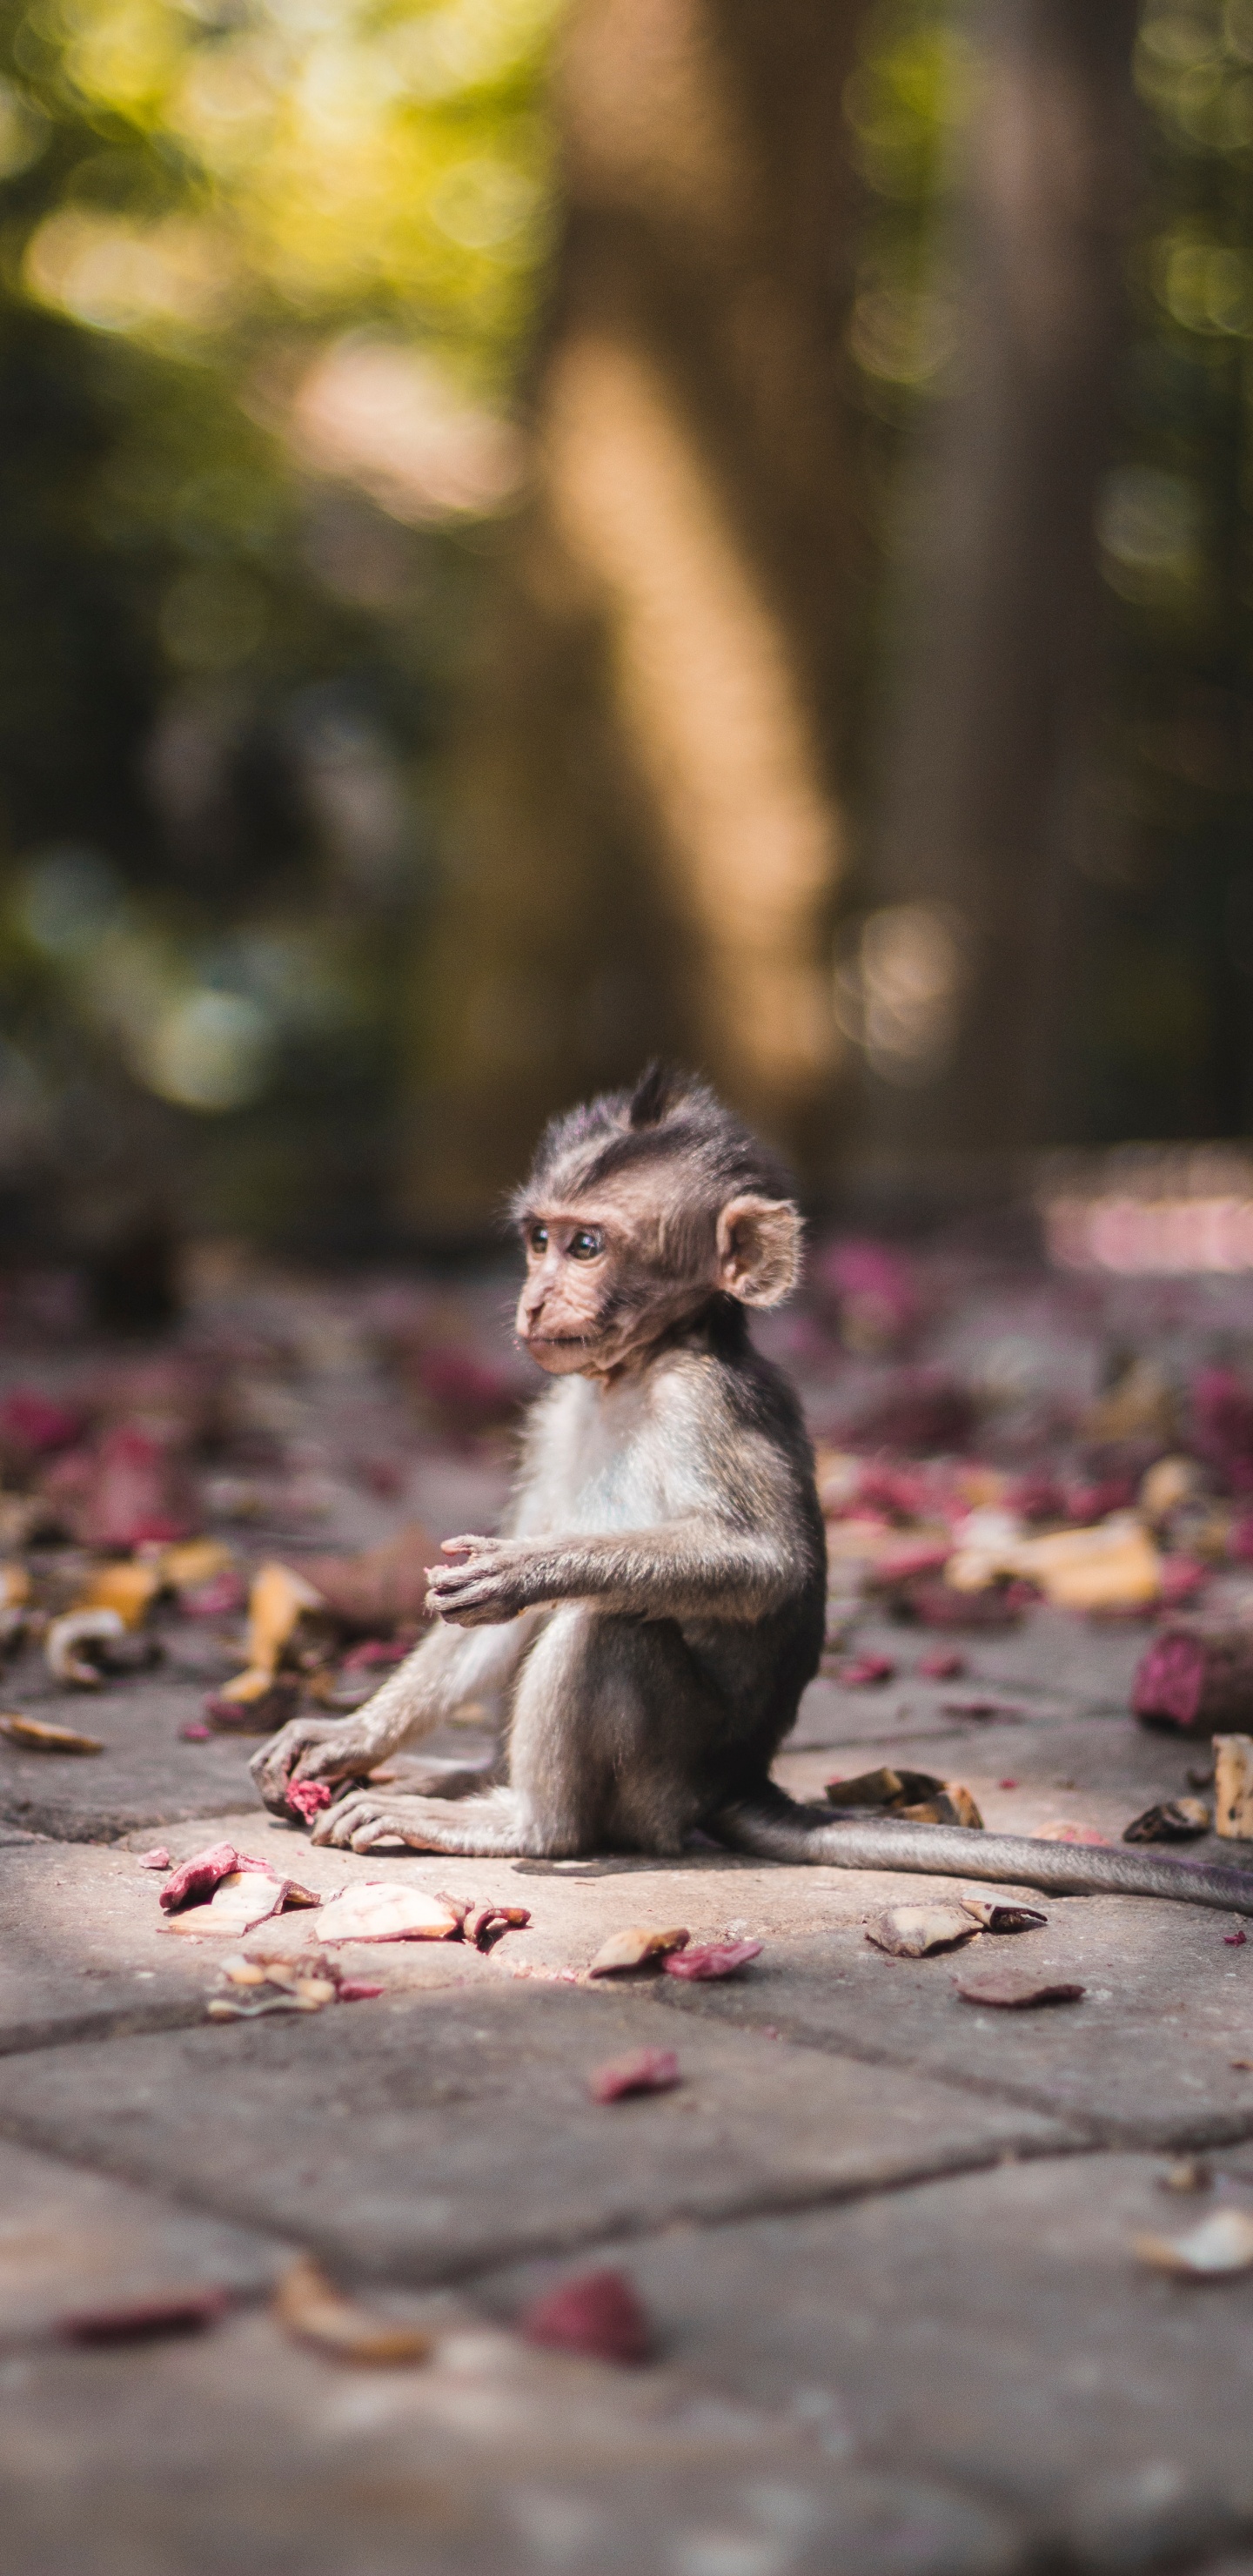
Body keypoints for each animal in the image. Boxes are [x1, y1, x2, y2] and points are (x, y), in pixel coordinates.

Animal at [252, 1068, 1253, 1921]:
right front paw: (347, 1734)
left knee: (605, 1624)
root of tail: (739, 1777)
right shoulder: (554, 1410)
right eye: (538, 1239)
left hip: (664, 1782)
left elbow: (765, 1565)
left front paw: (531, 1569)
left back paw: (520, 1821)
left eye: (587, 1245)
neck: (637, 1370)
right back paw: (446, 1773)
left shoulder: (709, 1402)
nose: (535, 1301)